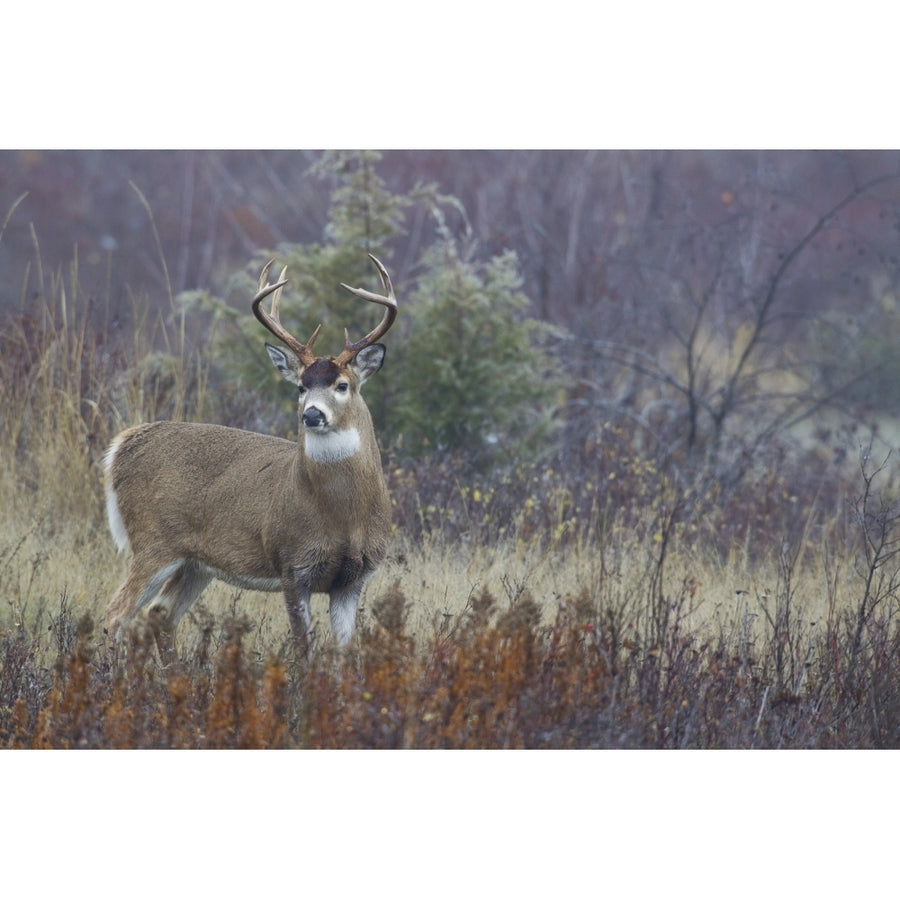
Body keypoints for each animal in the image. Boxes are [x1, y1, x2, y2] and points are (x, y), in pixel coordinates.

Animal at [103, 251, 398, 660]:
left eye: (343, 385)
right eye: (301, 386)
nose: (312, 414)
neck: (343, 517)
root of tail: (121, 446)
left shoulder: (354, 577)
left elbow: (343, 651)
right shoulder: (291, 563)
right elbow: (303, 648)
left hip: (196, 564)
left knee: (160, 612)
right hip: (153, 540)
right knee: (116, 615)